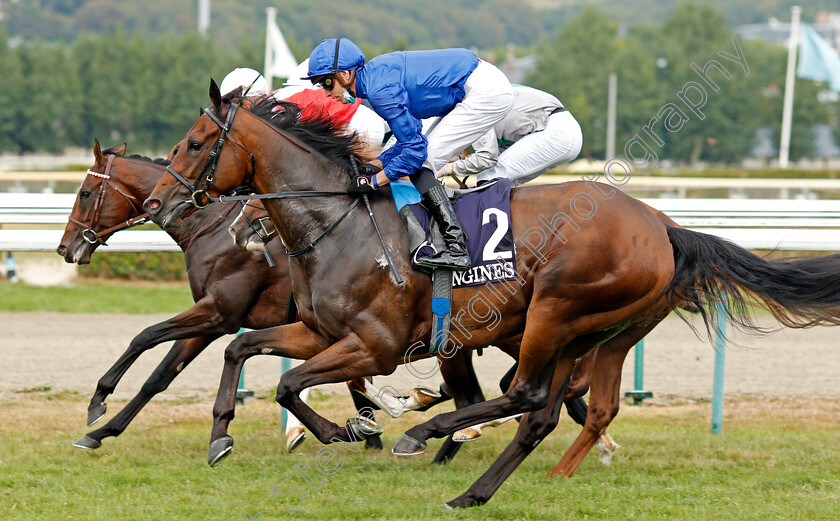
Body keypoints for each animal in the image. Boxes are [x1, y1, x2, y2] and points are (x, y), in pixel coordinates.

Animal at [143, 83, 840, 506]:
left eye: (197, 142)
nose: (159, 202)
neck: (339, 222)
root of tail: (663, 226)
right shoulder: (319, 331)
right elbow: (242, 352)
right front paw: (223, 435)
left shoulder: (375, 345)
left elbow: (290, 381)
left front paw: (352, 428)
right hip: (593, 330)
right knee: (548, 409)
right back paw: (476, 488)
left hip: (556, 309)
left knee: (527, 396)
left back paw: (431, 436)